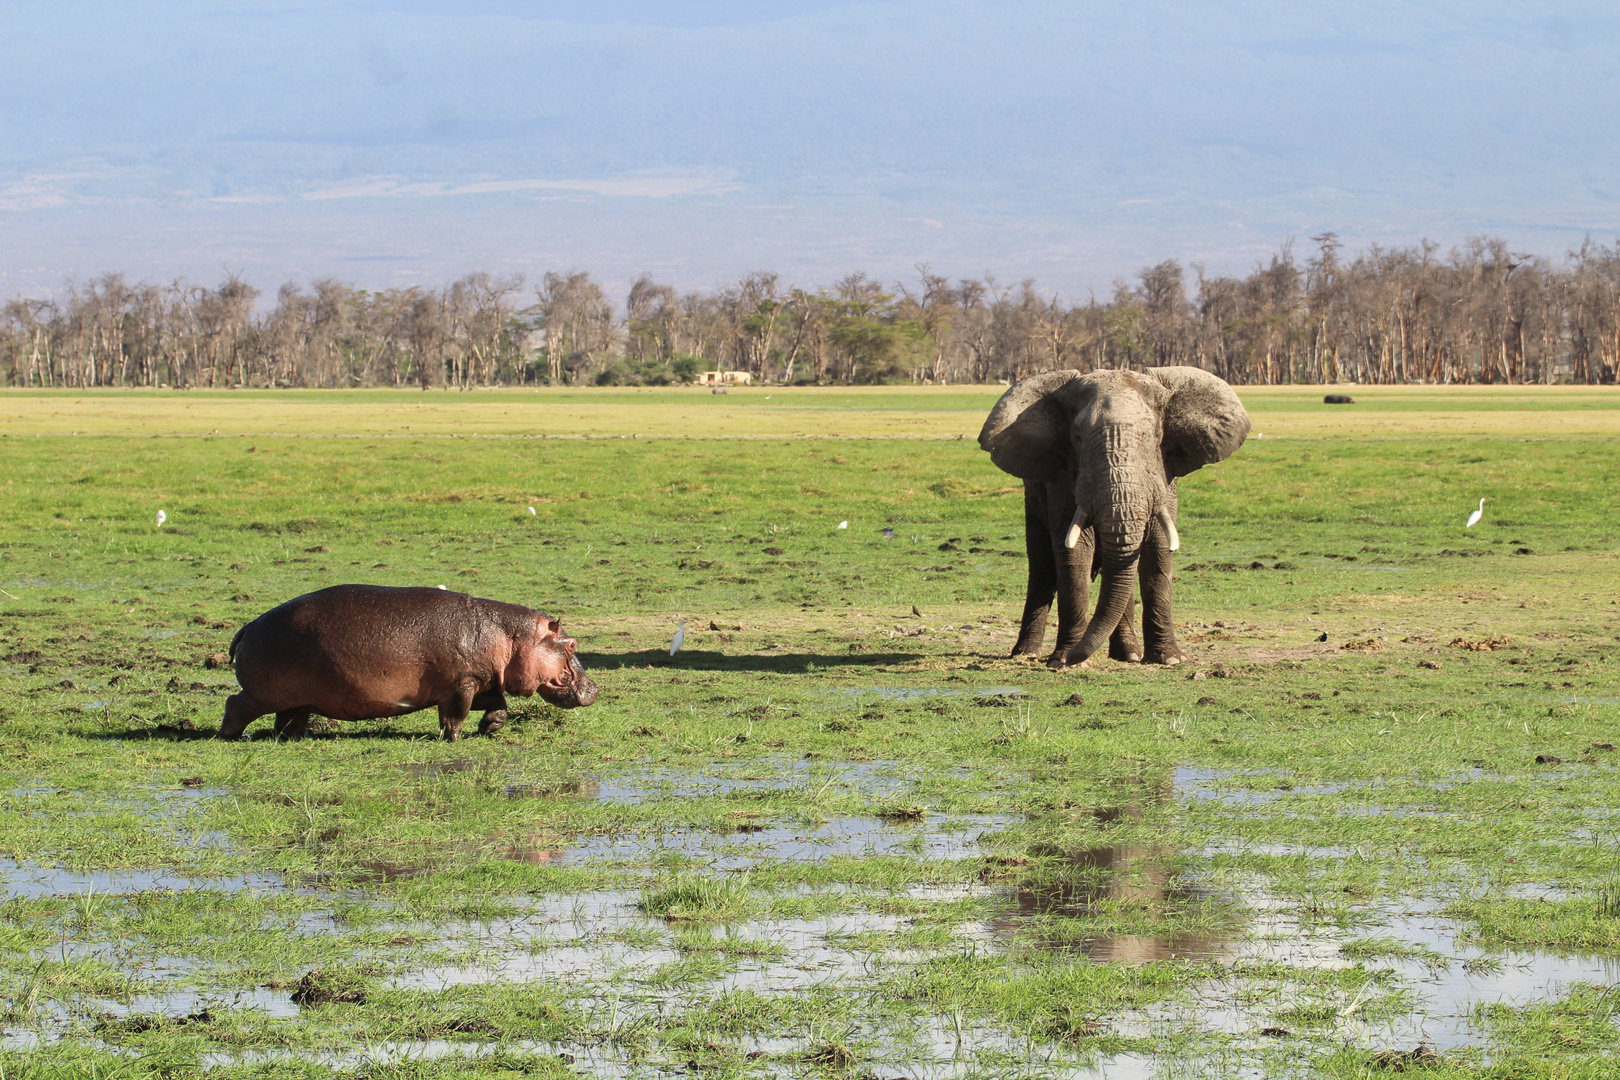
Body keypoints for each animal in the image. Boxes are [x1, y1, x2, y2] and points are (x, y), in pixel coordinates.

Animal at [972, 369, 1250, 667]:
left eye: (1155, 435)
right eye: (1077, 437)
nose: (1071, 656)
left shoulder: (1164, 475)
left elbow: (1158, 549)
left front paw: (1169, 659)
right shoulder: (1062, 477)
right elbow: (1075, 553)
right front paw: (1064, 660)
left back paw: (1128, 654)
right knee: (1043, 567)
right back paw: (1026, 653)